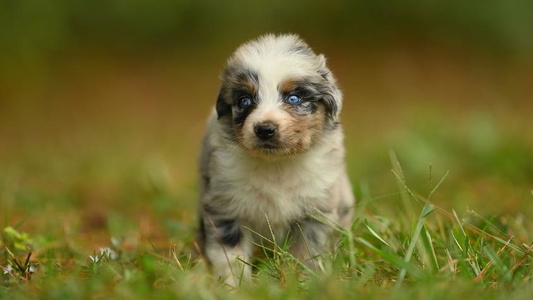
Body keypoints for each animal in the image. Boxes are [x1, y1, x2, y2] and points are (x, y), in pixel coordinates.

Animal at [195, 33, 354, 286]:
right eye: (244, 101)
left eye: (294, 98)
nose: (264, 129)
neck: (276, 165)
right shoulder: (224, 207)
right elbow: (230, 255)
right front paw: (234, 286)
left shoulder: (315, 211)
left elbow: (307, 253)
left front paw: (304, 282)